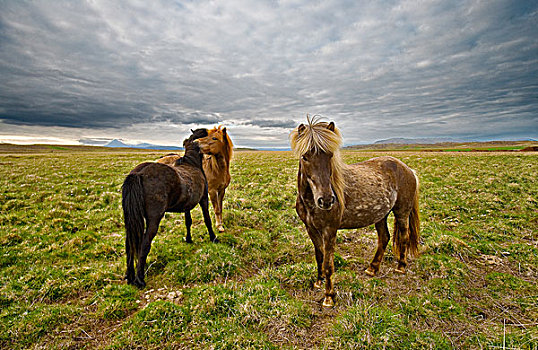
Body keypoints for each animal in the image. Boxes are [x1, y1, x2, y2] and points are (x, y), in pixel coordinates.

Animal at [121, 129, 216, 288]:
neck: (193, 163)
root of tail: (138, 173)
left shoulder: (186, 205)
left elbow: (188, 222)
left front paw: (189, 239)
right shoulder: (204, 199)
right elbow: (207, 219)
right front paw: (213, 238)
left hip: (131, 220)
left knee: (130, 244)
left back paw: (130, 276)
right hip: (154, 220)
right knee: (144, 244)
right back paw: (140, 279)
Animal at [288, 117, 418, 306]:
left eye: (330, 155)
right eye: (305, 157)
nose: (326, 200)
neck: (310, 201)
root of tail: (409, 169)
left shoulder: (329, 230)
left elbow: (328, 263)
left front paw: (329, 297)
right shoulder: (311, 228)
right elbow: (319, 256)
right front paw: (318, 281)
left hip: (402, 212)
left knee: (404, 236)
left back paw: (400, 267)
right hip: (380, 214)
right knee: (384, 238)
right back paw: (372, 268)